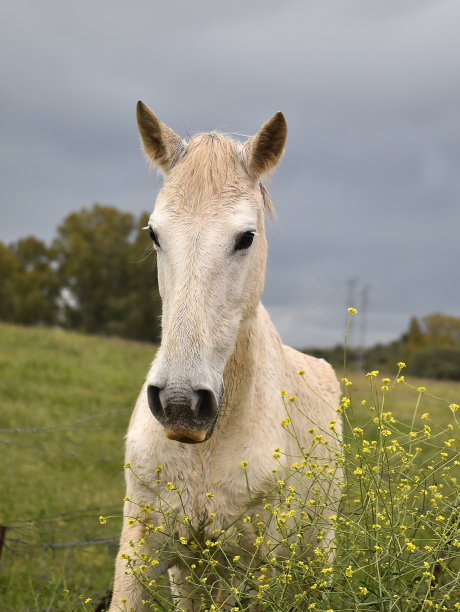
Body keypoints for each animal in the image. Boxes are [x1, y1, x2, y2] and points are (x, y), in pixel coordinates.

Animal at [109, 103, 344, 608]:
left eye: (245, 238)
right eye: (154, 234)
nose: (180, 404)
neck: (207, 449)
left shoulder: (260, 571)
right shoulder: (141, 551)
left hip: (319, 553)